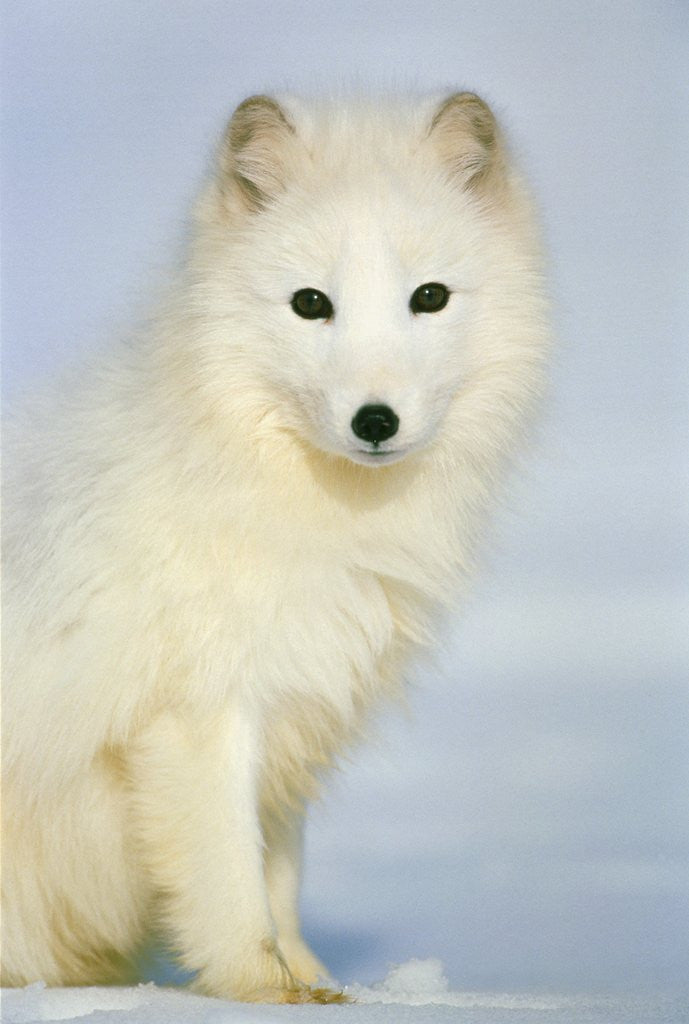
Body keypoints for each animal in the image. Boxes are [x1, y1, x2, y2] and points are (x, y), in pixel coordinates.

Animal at [1, 91, 549, 1002]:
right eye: (310, 303)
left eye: (428, 296)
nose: (374, 420)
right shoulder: (199, 712)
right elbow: (227, 878)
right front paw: (260, 988)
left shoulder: (294, 707)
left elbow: (279, 875)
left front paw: (317, 987)